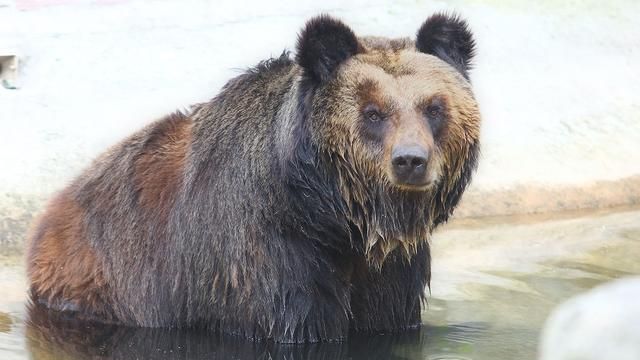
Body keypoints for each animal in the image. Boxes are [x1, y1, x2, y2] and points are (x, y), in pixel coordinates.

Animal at [26, 13, 480, 344]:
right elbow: (296, 322)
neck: (335, 215)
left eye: (434, 107)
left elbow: (387, 316)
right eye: (373, 112)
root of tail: (51, 212)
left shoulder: (391, 271)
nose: (410, 160)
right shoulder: (266, 255)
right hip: (109, 280)